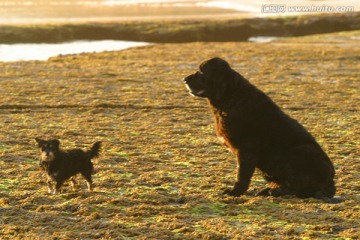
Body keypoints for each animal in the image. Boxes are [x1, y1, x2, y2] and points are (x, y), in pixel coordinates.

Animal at [183, 57, 338, 202]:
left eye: (202, 71)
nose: (184, 79)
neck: (231, 96)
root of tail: (331, 184)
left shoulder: (246, 150)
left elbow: (242, 175)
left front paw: (235, 192)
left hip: (299, 151)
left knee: (304, 191)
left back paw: (276, 191)